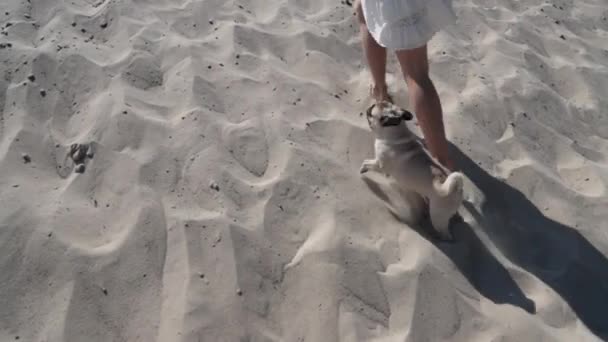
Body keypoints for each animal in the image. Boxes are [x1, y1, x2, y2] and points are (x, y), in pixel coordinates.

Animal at [360, 101, 466, 240]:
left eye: (371, 112)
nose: (369, 106)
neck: (396, 133)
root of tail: (455, 190)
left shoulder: (379, 164)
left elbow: (366, 162)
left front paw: (363, 168)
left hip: (438, 217)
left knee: (445, 233)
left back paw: (439, 237)